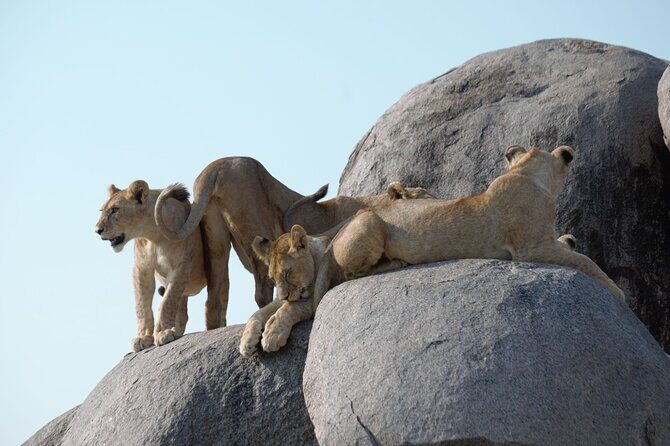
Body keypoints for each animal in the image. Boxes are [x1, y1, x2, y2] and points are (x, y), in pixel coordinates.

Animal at [95, 181, 209, 351]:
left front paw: (163, 333)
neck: (153, 236)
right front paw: (144, 337)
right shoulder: (141, 268)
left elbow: (167, 301)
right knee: (182, 312)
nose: (97, 230)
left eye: (115, 210)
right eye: (102, 210)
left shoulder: (181, 266)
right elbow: (142, 305)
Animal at [154, 156, 433, 328]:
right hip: (255, 226)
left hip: (217, 240)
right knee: (264, 288)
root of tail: (215, 167)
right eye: (425, 196)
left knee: (216, 298)